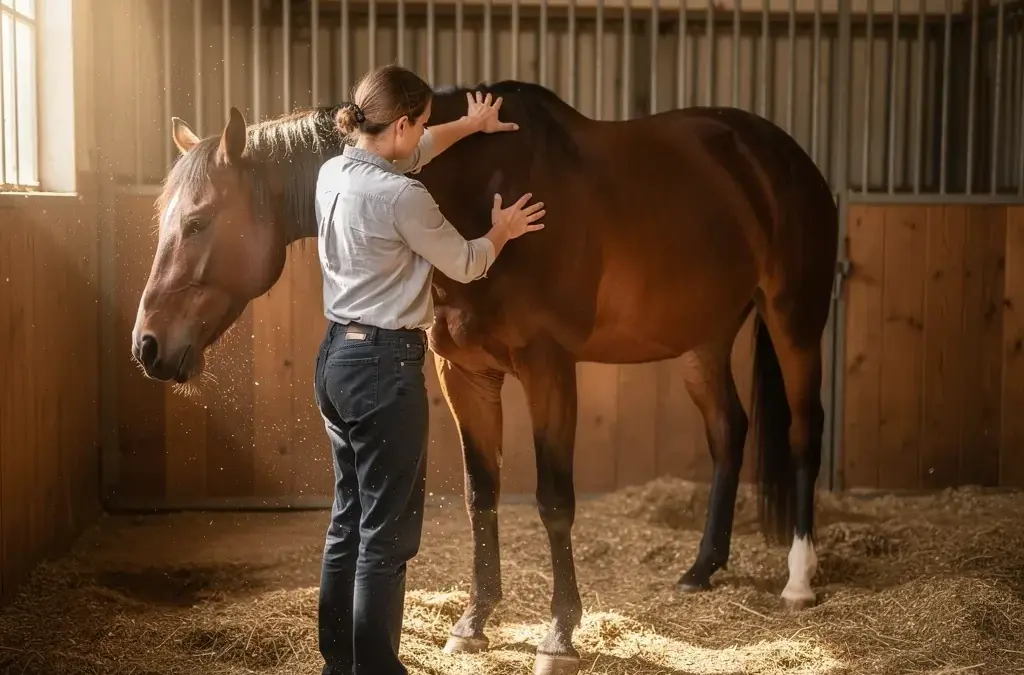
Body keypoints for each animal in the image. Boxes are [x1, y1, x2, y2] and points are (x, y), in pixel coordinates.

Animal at [131, 80, 837, 675]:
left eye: (197, 222)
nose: (148, 347)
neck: (471, 190)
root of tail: (780, 155)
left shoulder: (549, 369)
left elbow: (554, 501)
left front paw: (559, 635)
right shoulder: (465, 375)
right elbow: (482, 494)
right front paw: (473, 623)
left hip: (795, 320)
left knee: (805, 433)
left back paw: (799, 580)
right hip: (701, 340)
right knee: (728, 432)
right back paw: (701, 568)